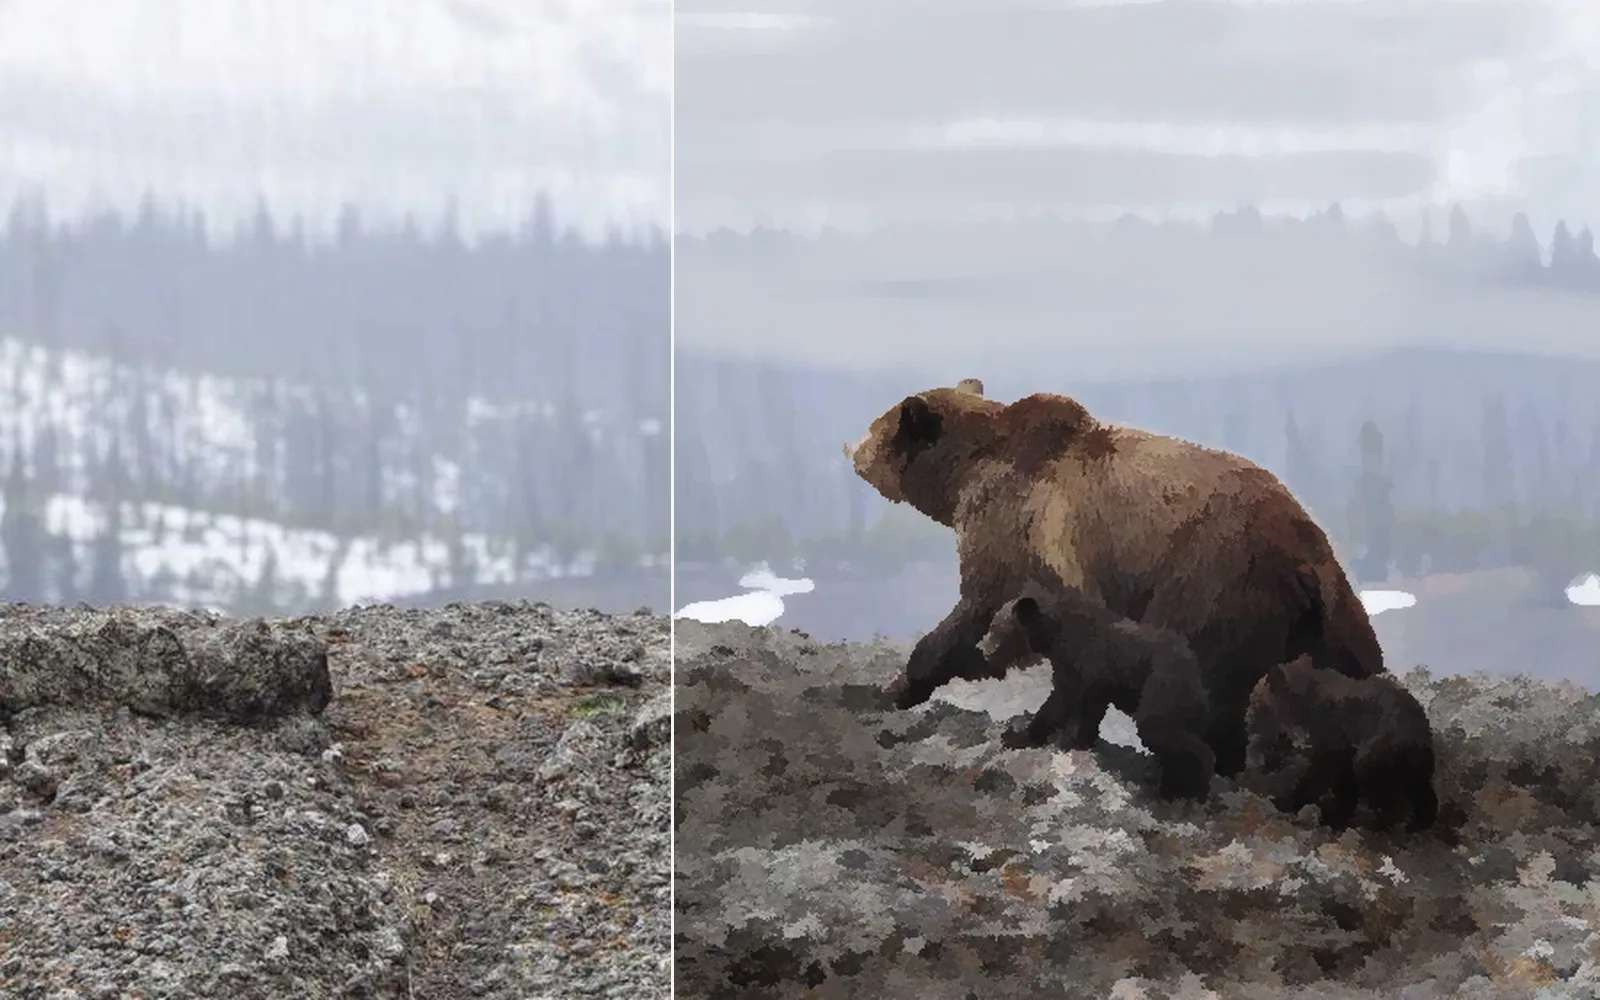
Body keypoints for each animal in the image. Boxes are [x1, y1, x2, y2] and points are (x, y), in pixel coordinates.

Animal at [844, 378, 1386, 776]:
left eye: (875, 427)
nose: (850, 447)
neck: (965, 476)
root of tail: (1309, 552)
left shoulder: (1019, 531)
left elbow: (977, 607)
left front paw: (904, 683)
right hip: (1326, 622)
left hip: (1214, 583)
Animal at [979, 582, 1215, 801]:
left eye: (995, 627)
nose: (983, 650)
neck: (1052, 634)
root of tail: (1198, 682)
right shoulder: (1098, 681)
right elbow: (1089, 711)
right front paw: (1080, 740)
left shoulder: (1079, 664)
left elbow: (1062, 699)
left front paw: (1018, 735)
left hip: (1162, 688)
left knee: (1164, 731)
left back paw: (1189, 788)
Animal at [1244, 654, 1438, 833]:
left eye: (1255, 703)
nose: (1247, 720)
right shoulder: (1342, 757)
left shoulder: (1331, 748)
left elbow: (1319, 777)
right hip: (1409, 769)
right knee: (1423, 795)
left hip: (1377, 759)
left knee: (1392, 800)